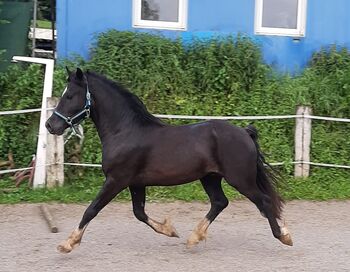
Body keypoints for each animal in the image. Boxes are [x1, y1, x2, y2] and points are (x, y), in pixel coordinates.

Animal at [45, 68, 292, 253]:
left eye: (69, 95)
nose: (50, 125)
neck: (124, 131)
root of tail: (244, 132)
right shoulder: (136, 184)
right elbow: (139, 213)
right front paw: (171, 231)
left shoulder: (116, 180)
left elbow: (91, 210)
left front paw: (68, 243)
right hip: (210, 178)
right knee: (220, 202)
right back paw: (194, 237)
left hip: (240, 179)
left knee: (263, 201)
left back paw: (284, 236)